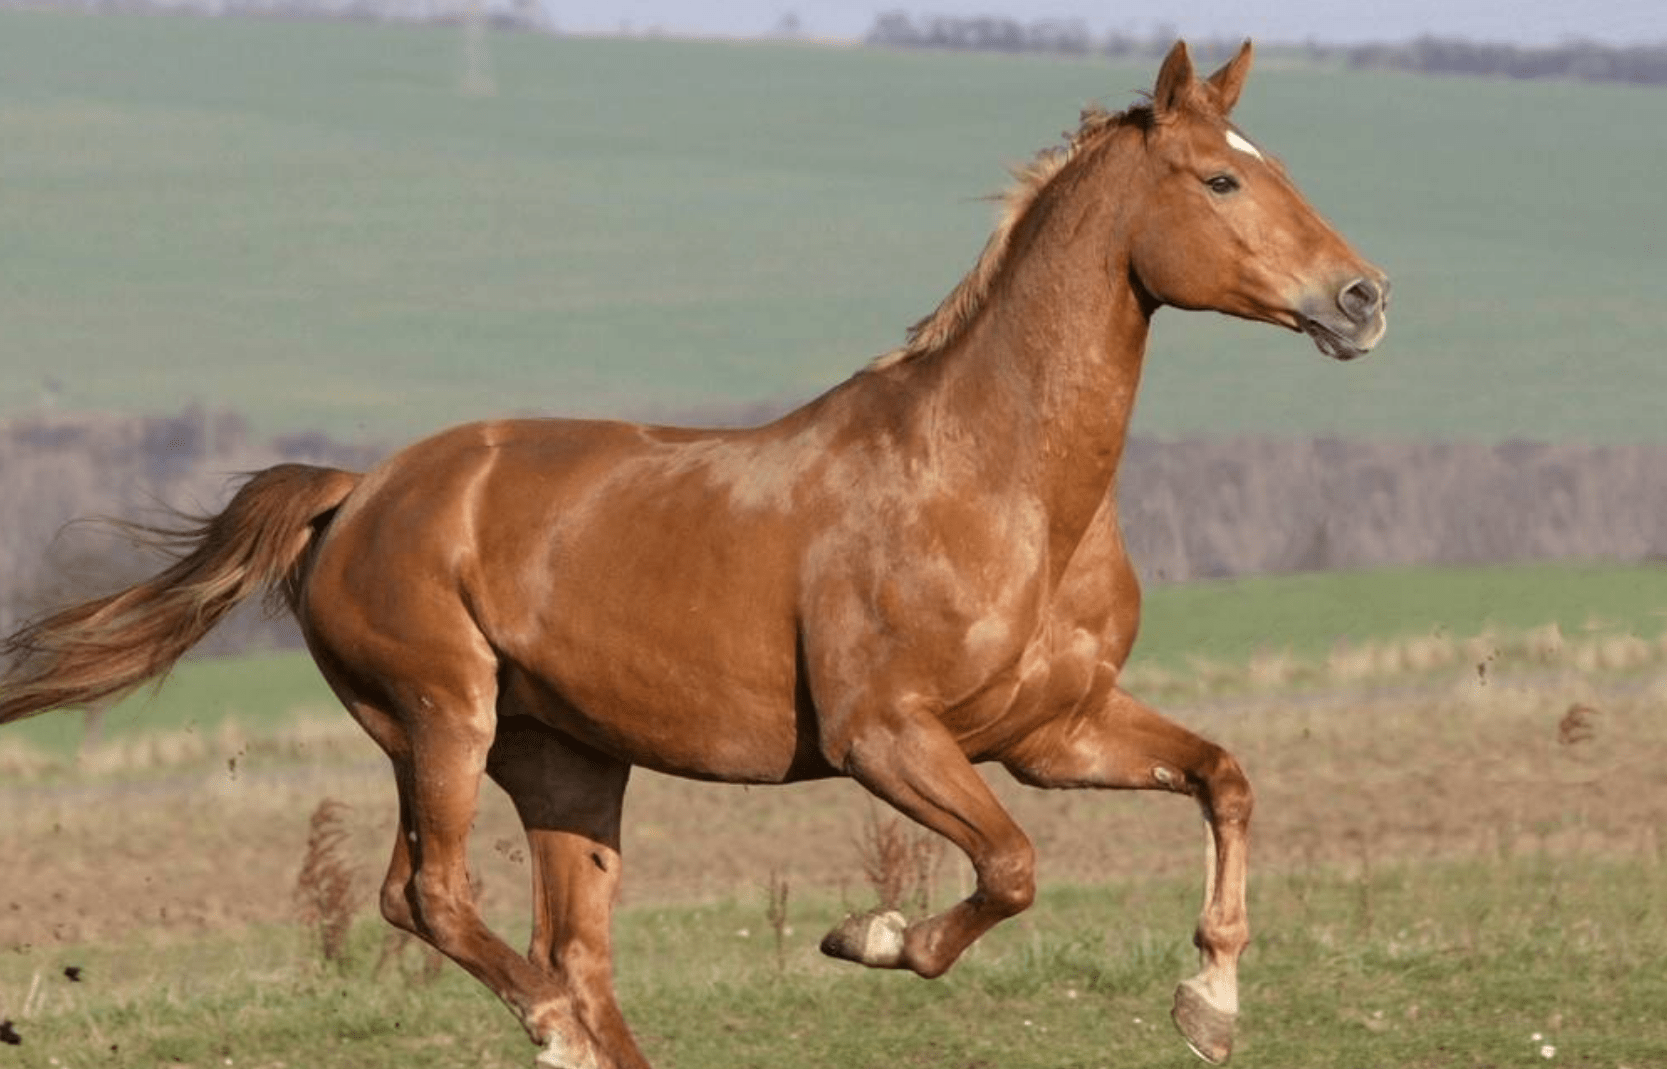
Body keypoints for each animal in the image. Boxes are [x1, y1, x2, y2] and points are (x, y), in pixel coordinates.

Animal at [0, 41, 1387, 1067]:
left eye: (1269, 165)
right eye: (1217, 182)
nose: (1362, 298)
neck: (998, 485)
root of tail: (356, 495)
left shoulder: (1054, 730)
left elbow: (1221, 778)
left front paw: (1207, 1004)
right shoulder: (887, 736)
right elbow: (1007, 867)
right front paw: (871, 937)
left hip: (566, 766)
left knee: (576, 951)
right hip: (440, 719)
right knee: (431, 899)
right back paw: (548, 1024)